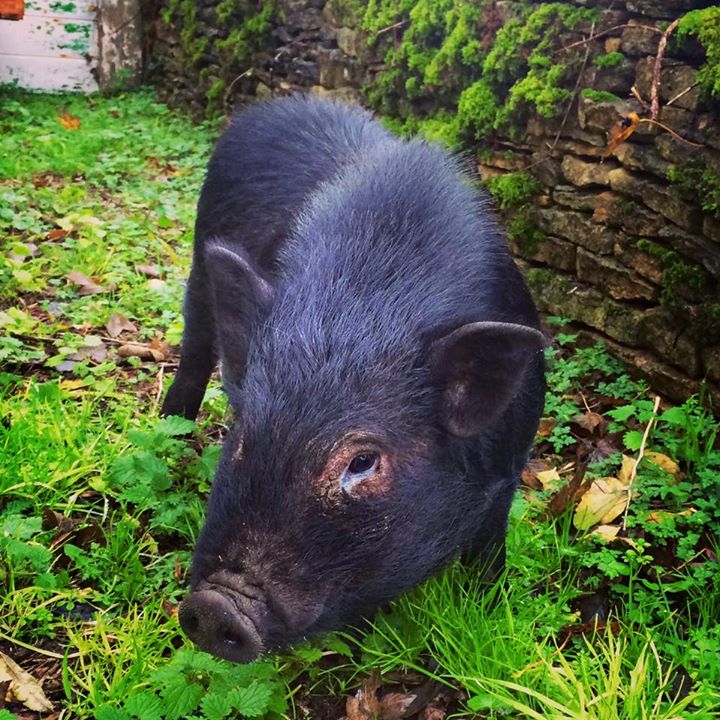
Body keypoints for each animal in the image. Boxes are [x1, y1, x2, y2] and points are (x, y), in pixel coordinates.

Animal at [163, 95, 544, 664]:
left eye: (363, 461)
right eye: (243, 438)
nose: (216, 606)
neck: (359, 313)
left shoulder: (509, 466)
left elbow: (489, 551)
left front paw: (488, 608)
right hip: (197, 268)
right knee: (192, 356)